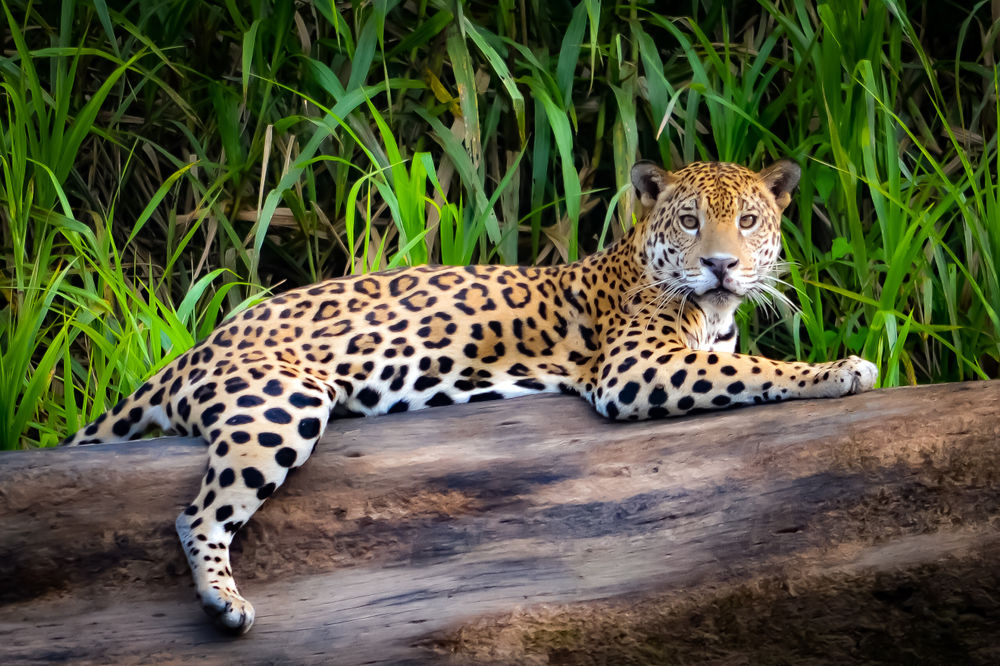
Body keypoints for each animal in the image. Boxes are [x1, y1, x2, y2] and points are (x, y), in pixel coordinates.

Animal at [62, 158, 877, 634]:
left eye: (748, 220)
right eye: (689, 221)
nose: (720, 265)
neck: (710, 311)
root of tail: (200, 344)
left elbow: (744, 362)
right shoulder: (636, 368)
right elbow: (759, 370)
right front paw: (840, 369)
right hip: (281, 401)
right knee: (197, 513)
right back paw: (224, 604)